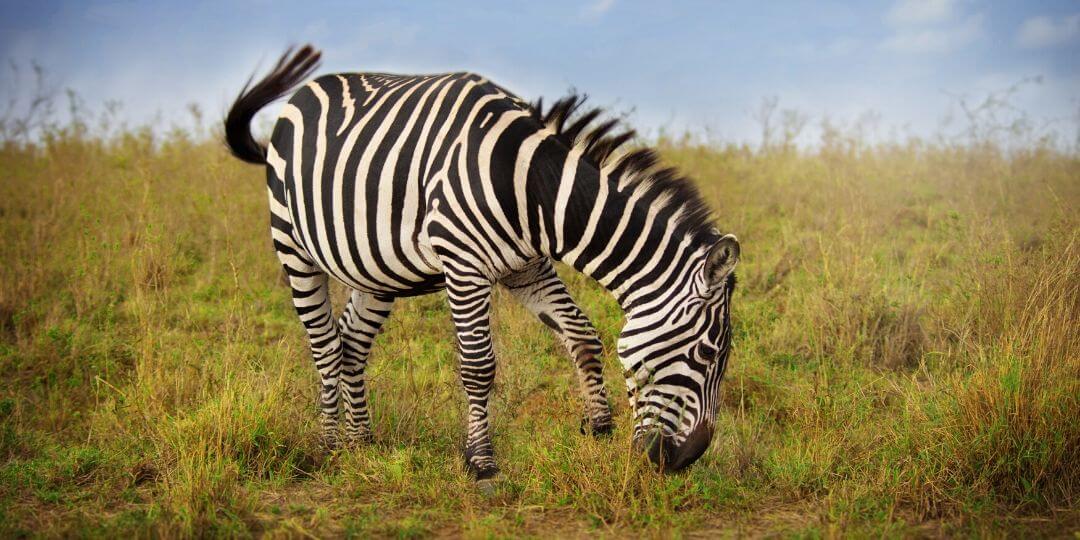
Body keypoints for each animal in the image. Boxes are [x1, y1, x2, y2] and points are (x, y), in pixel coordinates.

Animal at [224, 45, 740, 479]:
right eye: (708, 354)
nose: (685, 461)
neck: (534, 188)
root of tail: (306, 92)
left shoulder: (527, 268)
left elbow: (582, 336)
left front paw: (597, 426)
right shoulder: (464, 266)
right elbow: (478, 366)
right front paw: (480, 461)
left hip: (374, 268)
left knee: (351, 343)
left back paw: (361, 441)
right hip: (292, 244)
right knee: (326, 346)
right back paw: (330, 444)